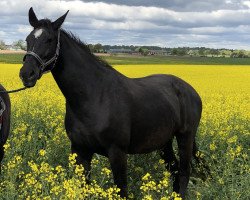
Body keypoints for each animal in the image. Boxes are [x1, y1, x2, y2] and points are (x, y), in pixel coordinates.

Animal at [20, 8, 205, 198]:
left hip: (185, 137)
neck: (94, 97)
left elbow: (121, 190)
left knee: (184, 172)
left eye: (49, 39)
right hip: (164, 141)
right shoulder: (80, 151)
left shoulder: (117, 153)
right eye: (28, 39)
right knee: (174, 169)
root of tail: (190, 91)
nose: (27, 74)